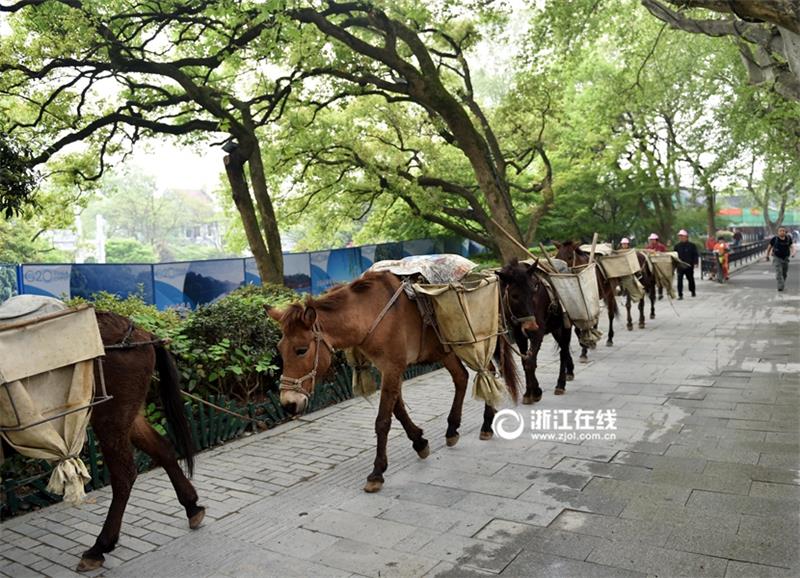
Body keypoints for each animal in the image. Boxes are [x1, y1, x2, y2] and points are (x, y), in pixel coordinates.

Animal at [76, 310, 203, 568]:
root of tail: (143, 335)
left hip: (110, 414)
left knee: (124, 475)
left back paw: (100, 546)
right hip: (126, 413)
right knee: (162, 448)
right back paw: (192, 506)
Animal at [268, 270, 520, 490]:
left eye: (301, 350)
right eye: (280, 349)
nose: (289, 403)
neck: (369, 313)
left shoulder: (393, 367)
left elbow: (383, 420)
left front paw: (377, 472)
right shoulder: (389, 369)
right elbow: (397, 409)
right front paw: (420, 442)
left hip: (473, 343)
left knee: (486, 371)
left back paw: (486, 424)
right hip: (446, 351)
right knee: (462, 377)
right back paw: (452, 429)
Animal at [494, 258, 576, 402]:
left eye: (533, 292)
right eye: (514, 296)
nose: (531, 326)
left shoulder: (538, 333)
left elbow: (530, 362)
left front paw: (535, 392)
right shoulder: (519, 334)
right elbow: (525, 361)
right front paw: (529, 392)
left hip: (565, 326)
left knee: (564, 351)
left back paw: (560, 384)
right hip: (555, 328)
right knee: (563, 349)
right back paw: (569, 372)